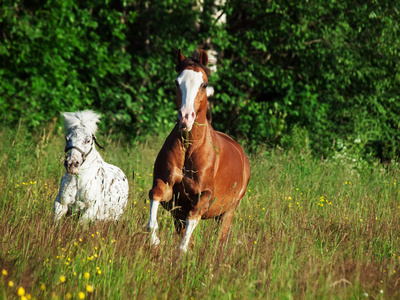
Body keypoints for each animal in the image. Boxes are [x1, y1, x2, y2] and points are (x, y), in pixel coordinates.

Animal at [147, 48, 252, 251]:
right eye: (177, 81)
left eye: (204, 84)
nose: (186, 117)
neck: (190, 148)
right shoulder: (168, 190)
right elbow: (155, 195)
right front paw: (154, 239)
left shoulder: (204, 196)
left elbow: (193, 218)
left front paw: (181, 251)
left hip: (228, 211)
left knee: (219, 239)